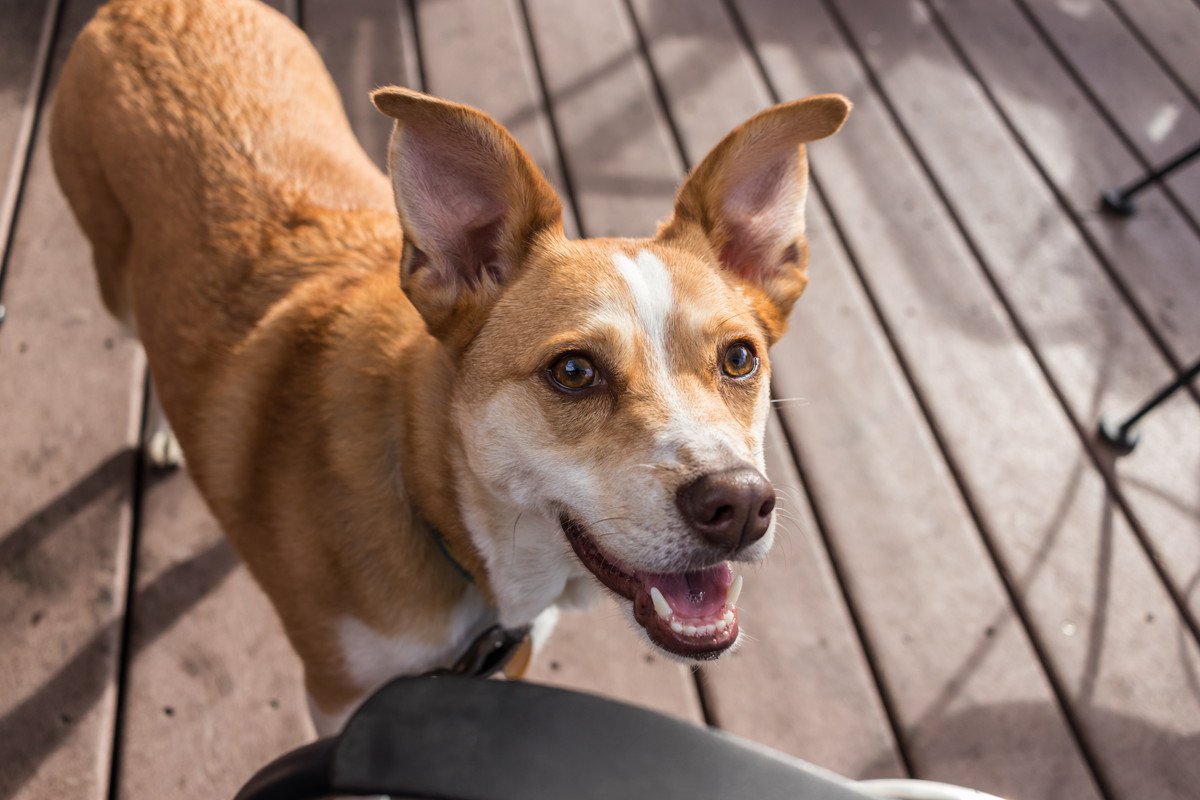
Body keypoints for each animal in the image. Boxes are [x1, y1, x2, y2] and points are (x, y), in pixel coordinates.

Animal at [54, 0, 844, 738]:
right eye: (574, 372)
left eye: (739, 359)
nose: (739, 504)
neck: (432, 490)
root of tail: (150, 8)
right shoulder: (340, 701)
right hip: (111, 275)